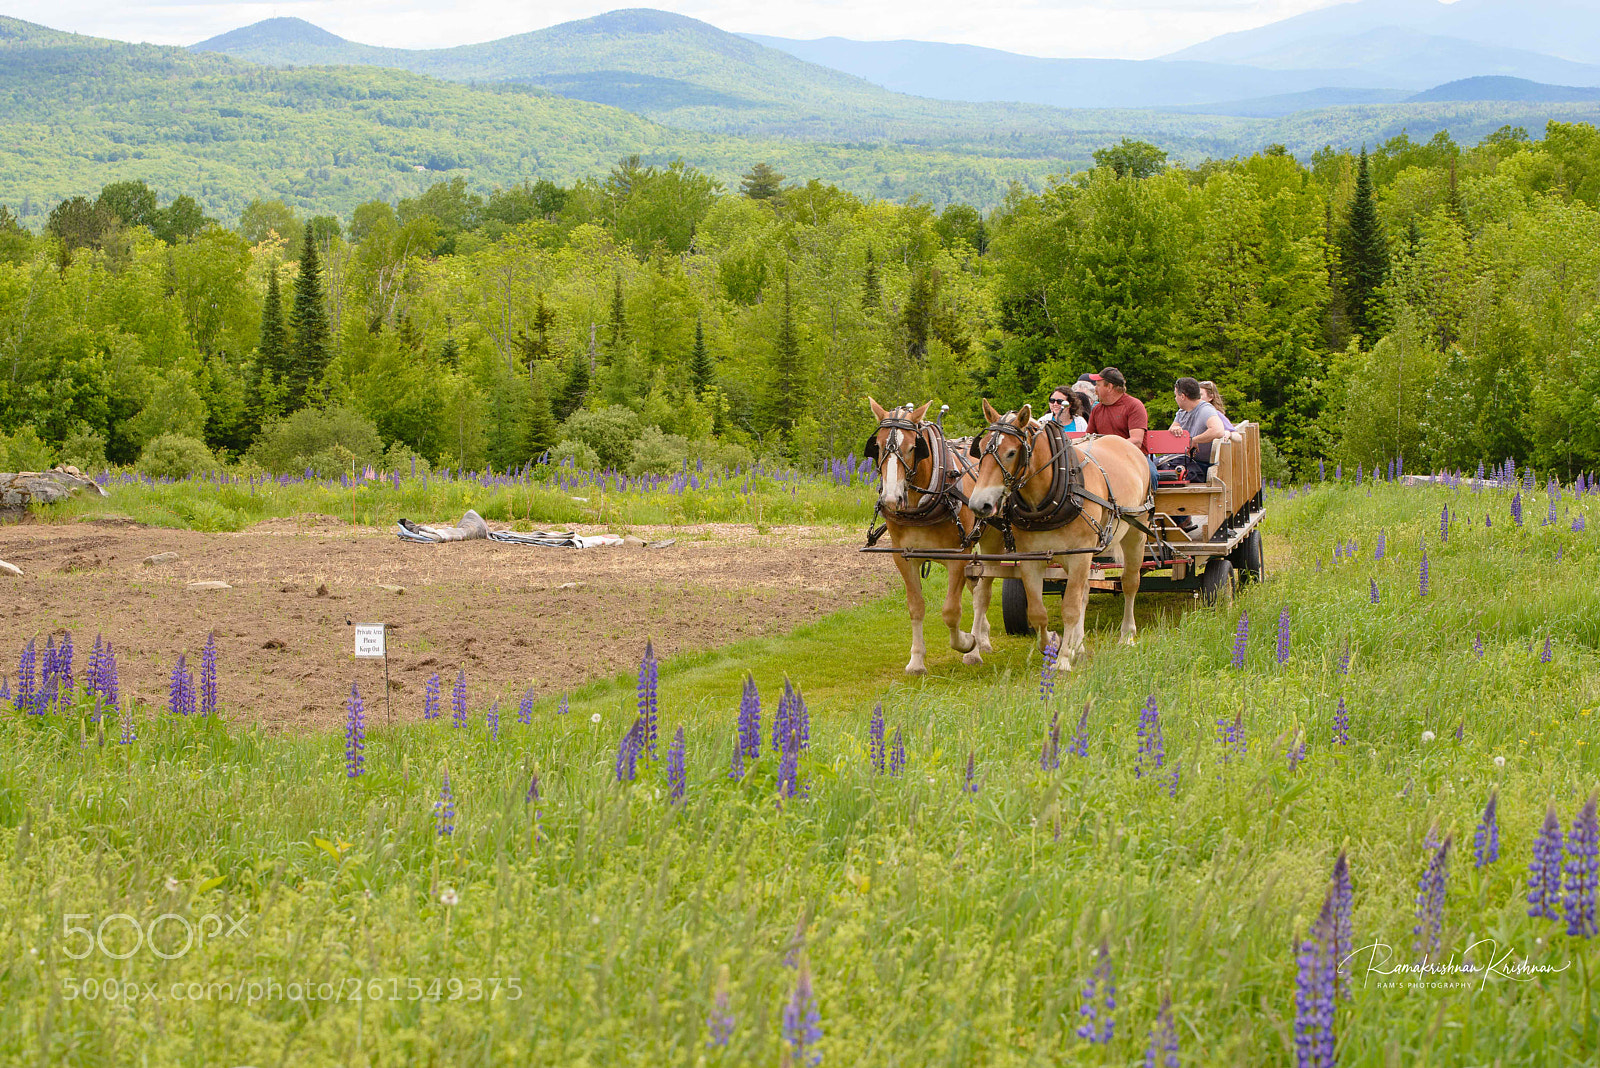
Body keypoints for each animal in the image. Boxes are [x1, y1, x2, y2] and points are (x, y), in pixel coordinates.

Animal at [863, 398, 1001, 674]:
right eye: (879, 447)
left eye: (912, 448)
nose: (891, 498)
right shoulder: (904, 557)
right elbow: (916, 607)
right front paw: (916, 661)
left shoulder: (958, 556)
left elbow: (951, 611)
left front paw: (967, 642)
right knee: (976, 586)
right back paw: (984, 634)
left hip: (993, 541)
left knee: (983, 593)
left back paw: (977, 647)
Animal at [964, 400, 1154, 670]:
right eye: (980, 450)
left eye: (1011, 453)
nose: (979, 504)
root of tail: (1126, 444)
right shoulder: (1032, 559)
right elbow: (1038, 612)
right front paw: (1052, 645)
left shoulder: (1079, 556)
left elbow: (1070, 608)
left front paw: (1063, 660)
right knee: (1085, 591)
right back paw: (1079, 646)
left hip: (1135, 534)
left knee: (1129, 583)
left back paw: (1126, 635)